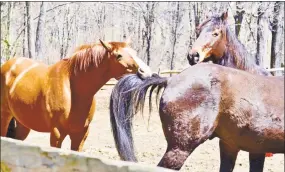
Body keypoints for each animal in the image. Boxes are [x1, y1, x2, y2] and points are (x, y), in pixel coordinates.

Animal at [1, 39, 152, 152]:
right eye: (118, 56)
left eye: (134, 52)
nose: (146, 72)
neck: (72, 90)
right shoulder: (57, 134)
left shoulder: (80, 135)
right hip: (4, 117)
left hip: (22, 124)